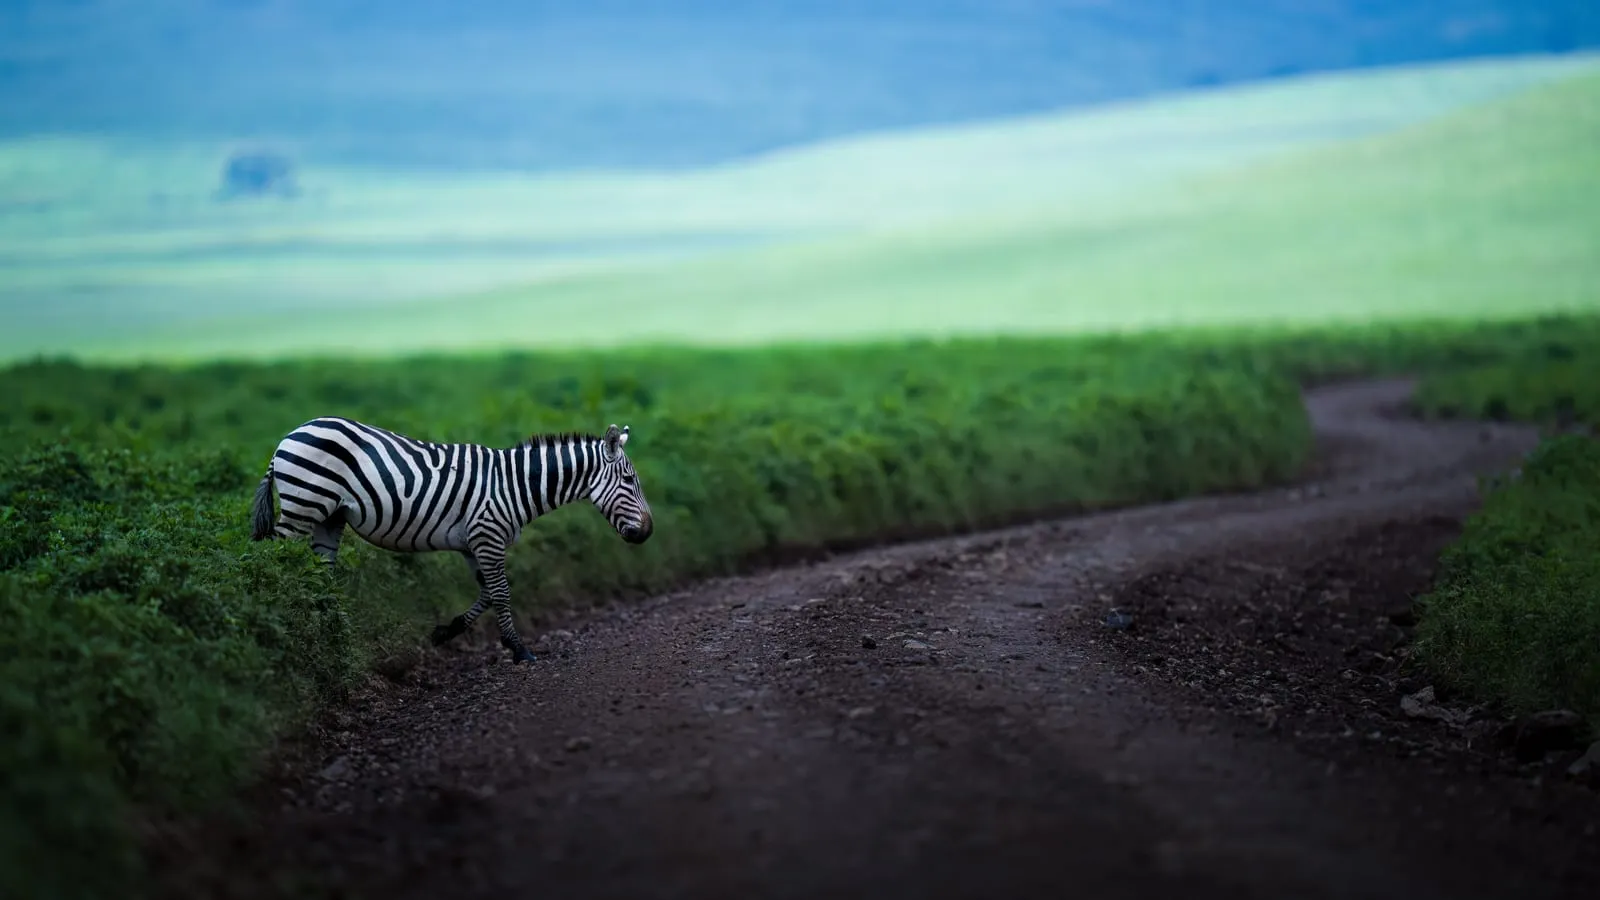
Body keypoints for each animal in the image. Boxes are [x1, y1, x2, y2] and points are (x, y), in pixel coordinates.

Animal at [250, 416, 653, 663]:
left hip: (328, 518)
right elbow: (501, 592)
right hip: (303, 506)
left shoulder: (474, 543)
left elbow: (488, 593)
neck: (514, 487)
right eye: (629, 480)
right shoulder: (487, 535)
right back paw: (285, 622)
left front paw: (446, 632)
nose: (648, 532)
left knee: (322, 576)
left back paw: (335, 634)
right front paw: (519, 649)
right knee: (279, 565)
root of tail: (291, 435)